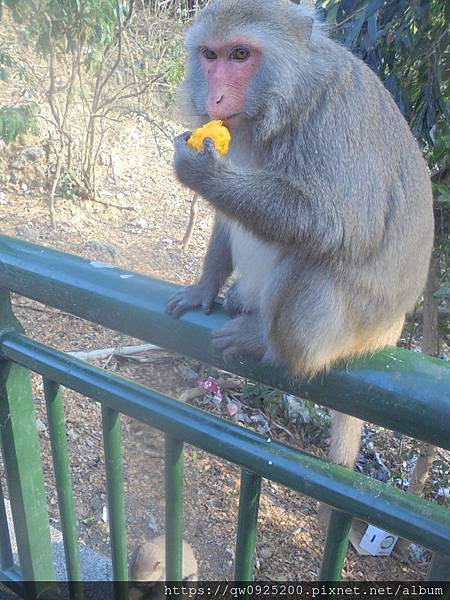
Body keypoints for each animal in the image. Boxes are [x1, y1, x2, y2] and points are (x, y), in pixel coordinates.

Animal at [166, 0, 432, 476]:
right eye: (210, 56)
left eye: (240, 55)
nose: (213, 98)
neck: (286, 98)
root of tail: (392, 332)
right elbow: (226, 220)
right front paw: (204, 287)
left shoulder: (334, 120)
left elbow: (339, 224)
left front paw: (203, 174)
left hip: (350, 329)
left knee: (313, 261)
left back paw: (268, 344)